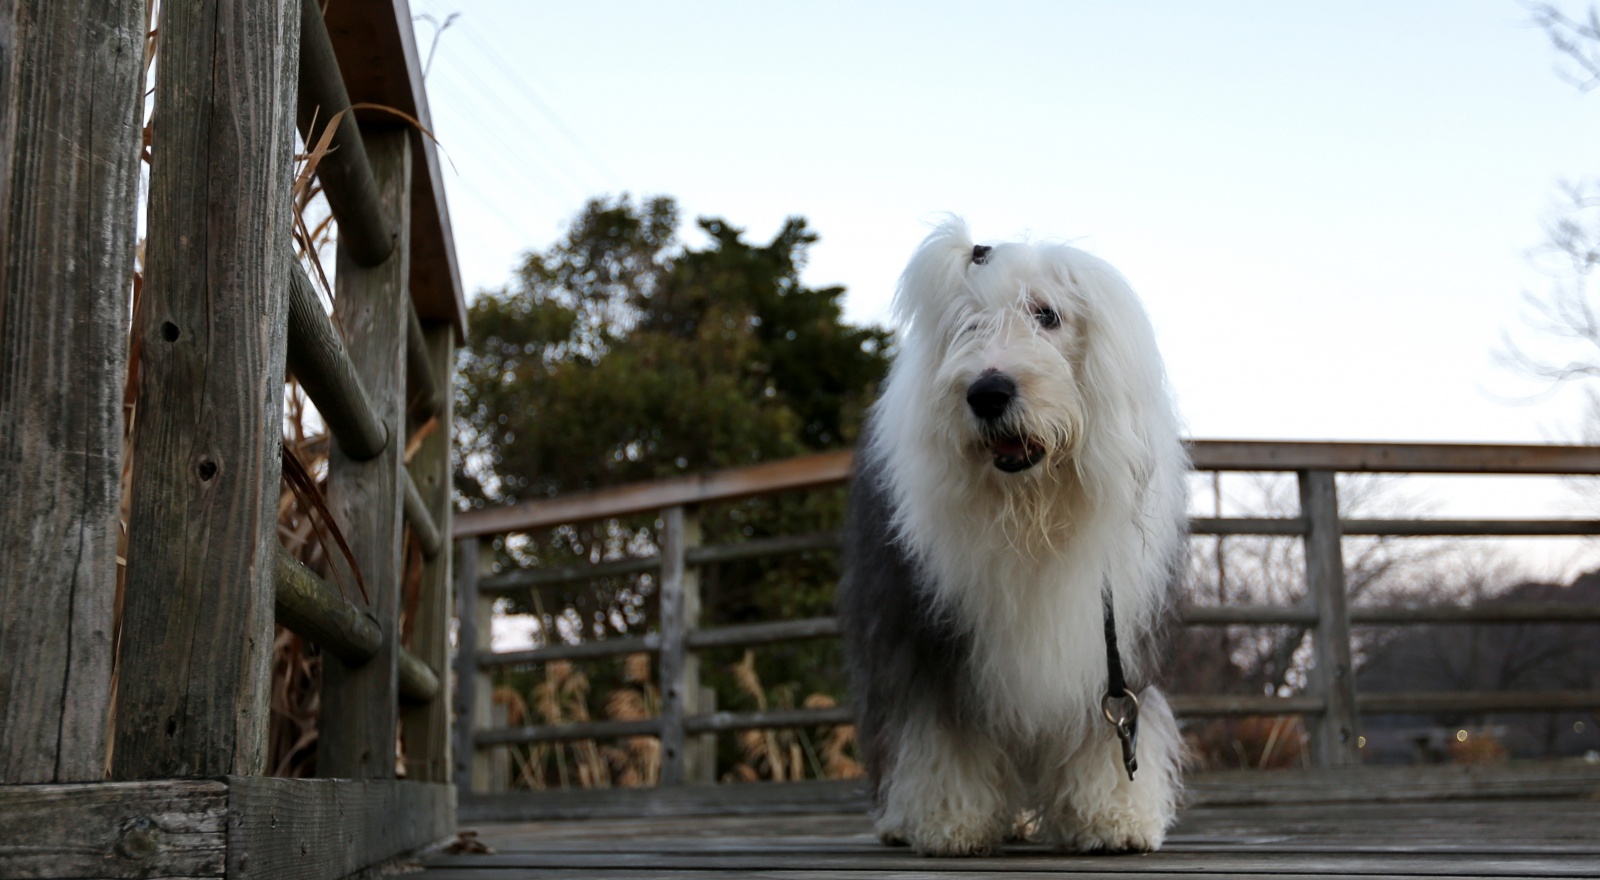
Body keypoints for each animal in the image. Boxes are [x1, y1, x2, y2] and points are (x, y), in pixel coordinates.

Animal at [839, 220, 1188, 856]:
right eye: (967, 325)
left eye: (1047, 315)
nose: (988, 392)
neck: (1031, 513)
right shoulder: (931, 636)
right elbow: (943, 730)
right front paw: (950, 823)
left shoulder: (1111, 642)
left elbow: (1108, 727)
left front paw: (1114, 818)